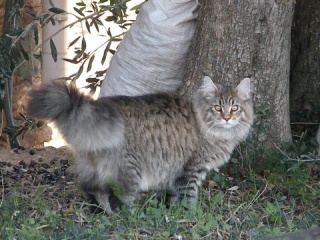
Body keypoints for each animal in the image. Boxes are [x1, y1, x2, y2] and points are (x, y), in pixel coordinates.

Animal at [26, 76, 252, 213]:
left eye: (235, 108)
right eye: (217, 108)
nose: (226, 118)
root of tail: (100, 107)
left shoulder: (174, 171)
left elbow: (172, 195)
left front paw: (171, 210)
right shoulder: (192, 169)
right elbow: (189, 196)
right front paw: (191, 215)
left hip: (95, 166)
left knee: (91, 189)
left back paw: (102, 213)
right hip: (131, 170)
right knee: (121, 197)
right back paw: (129, 216)